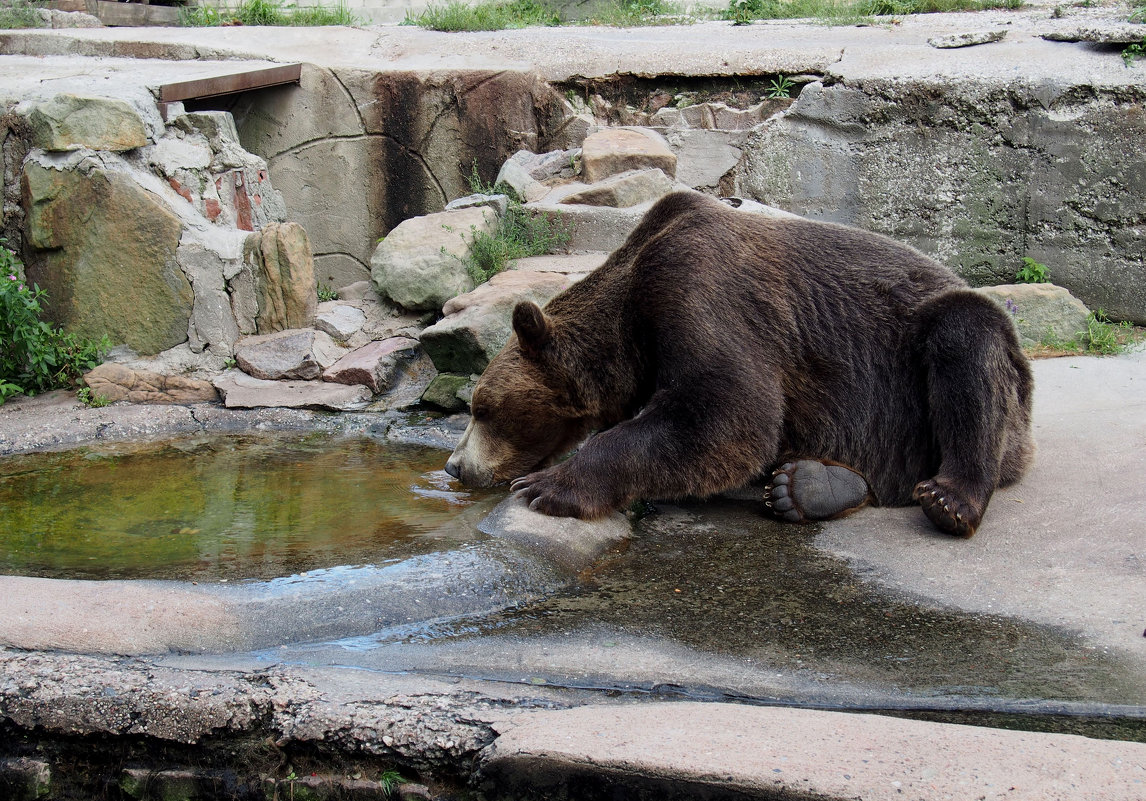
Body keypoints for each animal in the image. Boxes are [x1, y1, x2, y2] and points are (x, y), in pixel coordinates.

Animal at [442, 190, 1035, 536]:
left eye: (482, 408)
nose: (454, 465)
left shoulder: (700, 287)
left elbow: (728, 412)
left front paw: (548, 485)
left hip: (955, 378)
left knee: (965, 339)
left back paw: (950, 497)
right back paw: (808, 486)